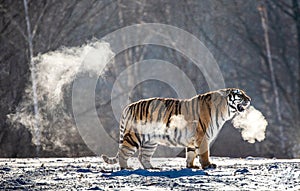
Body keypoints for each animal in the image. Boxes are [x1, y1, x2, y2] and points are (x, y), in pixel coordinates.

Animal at [102, 88, 252, 169]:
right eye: (240, 95)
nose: (249, 99)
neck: (224, 110)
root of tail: (128, 107)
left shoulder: (193, 139)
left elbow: (191, 154)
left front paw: (191, 166)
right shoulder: (202, 136)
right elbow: (204, 153)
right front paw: (208, 165)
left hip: (150, 142)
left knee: (142, 156)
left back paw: (152, 168)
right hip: (135, 136)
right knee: (123, 152)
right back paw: (125, 167)